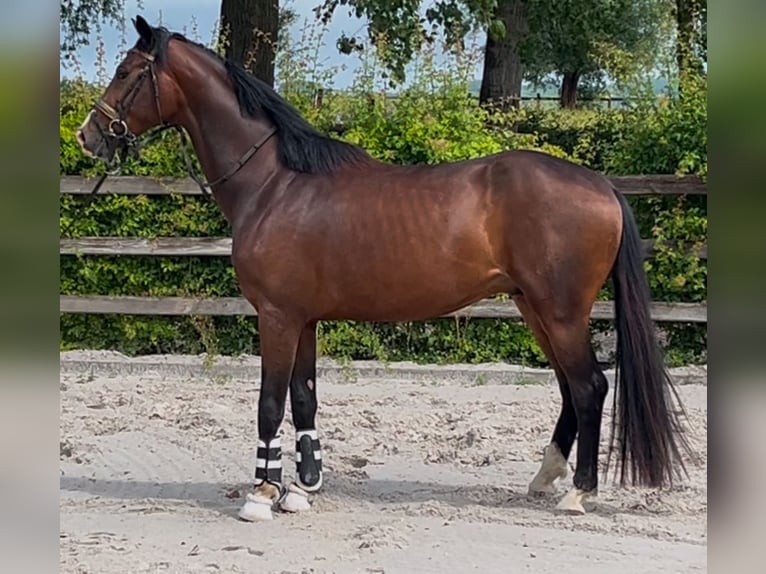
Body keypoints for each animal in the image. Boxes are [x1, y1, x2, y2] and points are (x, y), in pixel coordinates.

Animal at [76, 16, 693, 521]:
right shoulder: (303, 319)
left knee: (589, 386)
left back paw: (578, 493)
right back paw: (545, 478)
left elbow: (270, 402)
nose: (87, 136)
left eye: (127, 72)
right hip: (534, 307)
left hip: (560, 311)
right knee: (569, 387)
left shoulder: (276, 317)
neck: (275, 183)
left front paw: (263, 494)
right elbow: (305, 396)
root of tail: (601, 185)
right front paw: (303, 486)